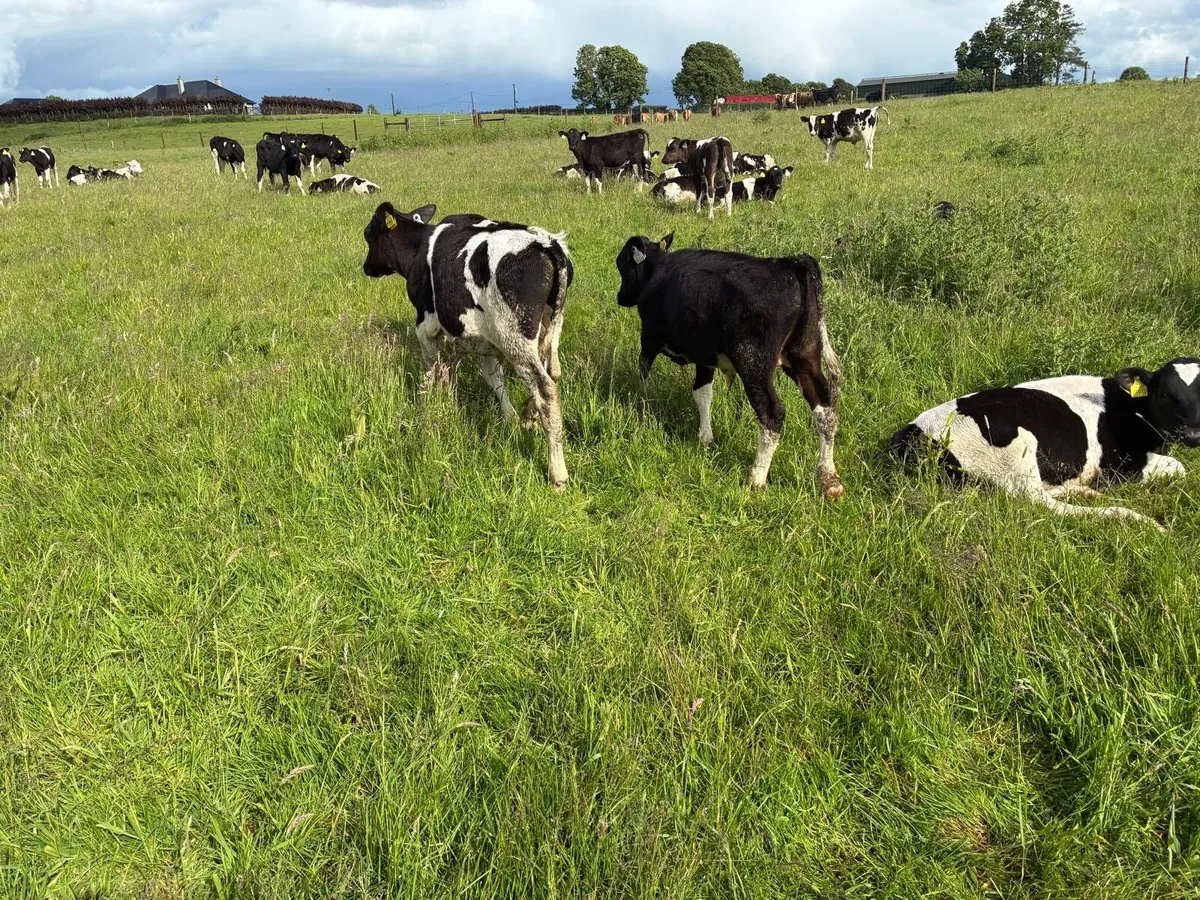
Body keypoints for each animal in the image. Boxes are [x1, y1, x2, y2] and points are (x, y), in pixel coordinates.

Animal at [361, 202, 573, 488]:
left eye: (368, 234)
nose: (366, 267)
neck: (419, 246)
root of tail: (546, 244)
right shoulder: (489, 338)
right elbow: (493, 377)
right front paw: (510, 417)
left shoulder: (426, 325)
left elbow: (428, 371)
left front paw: (423, 406)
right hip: (548, 327)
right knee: (552, 373)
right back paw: (530, 417)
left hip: (515, 337)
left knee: (545, 388)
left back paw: (557, 473)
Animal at [615, 233, 843, 498]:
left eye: (623, 264)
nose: (620, 297)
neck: (657, 269)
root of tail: (789, 263)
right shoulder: (704, 357)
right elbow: (702, 393)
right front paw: (705, 439)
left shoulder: (649, 340)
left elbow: (643, 379)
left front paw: (641, 412)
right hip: (804, 357)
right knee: (824, 406)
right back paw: (828, 477)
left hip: (754, 364)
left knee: (772, 414)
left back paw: (756, 478)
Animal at [890, 359, 1200, 529]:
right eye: (1163, 394)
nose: (1193, 434)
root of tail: (912, 433)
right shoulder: (1119, 465)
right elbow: (1179, 468)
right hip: (1020, 447)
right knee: (1039, 502)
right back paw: (1133, 517)